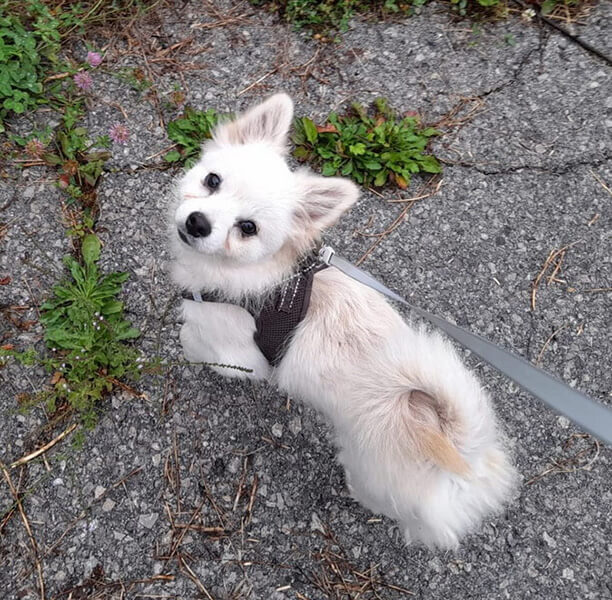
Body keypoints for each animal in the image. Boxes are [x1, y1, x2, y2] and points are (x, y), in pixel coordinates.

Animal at [170, 94, 518, 549]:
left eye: (247, 228)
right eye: (212, 180)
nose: (198, 222)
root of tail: (462, 450)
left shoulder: (241, 354)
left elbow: (197, 341)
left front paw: (186, 344)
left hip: (376, 477)